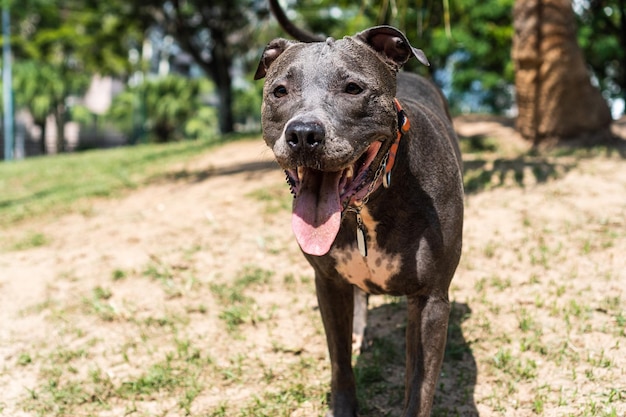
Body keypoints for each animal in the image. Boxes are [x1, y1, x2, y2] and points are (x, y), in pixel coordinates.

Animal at [254, 24, 464, 414]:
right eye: (280, 91)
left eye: (353, 88)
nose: (303, 134)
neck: (364, 207)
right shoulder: (328, 283)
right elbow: (339, 362)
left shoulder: (431, 299)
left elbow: (421, 386)